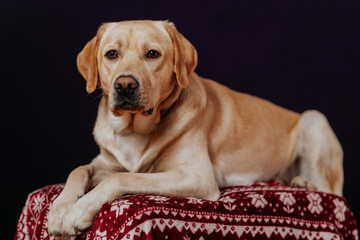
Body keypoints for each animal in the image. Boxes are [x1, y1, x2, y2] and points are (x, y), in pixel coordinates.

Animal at [47, 20, 344, 236]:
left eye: (152, 54)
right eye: (111, 54)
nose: (125, 85)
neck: (136, 129)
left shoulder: (198, 177)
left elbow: (121, 178)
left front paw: (80, 209)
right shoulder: (106, 161)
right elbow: (79, 170)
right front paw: (60, 209)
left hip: (314, 119)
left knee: (333, 191)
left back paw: (305, 182)